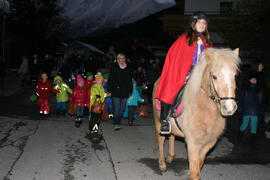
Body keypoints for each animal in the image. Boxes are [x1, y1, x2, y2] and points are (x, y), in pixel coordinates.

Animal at [153, 48, 239, 180]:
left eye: (234, 76)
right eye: (214, 76)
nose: (229, 108)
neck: (205, 109)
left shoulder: (210, 142)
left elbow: (199, 164)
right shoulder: (193, 143)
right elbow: (195, 173)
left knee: (172, 135)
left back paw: (170, 156)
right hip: (158, 122)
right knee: (161, 139)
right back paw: (162, 163)